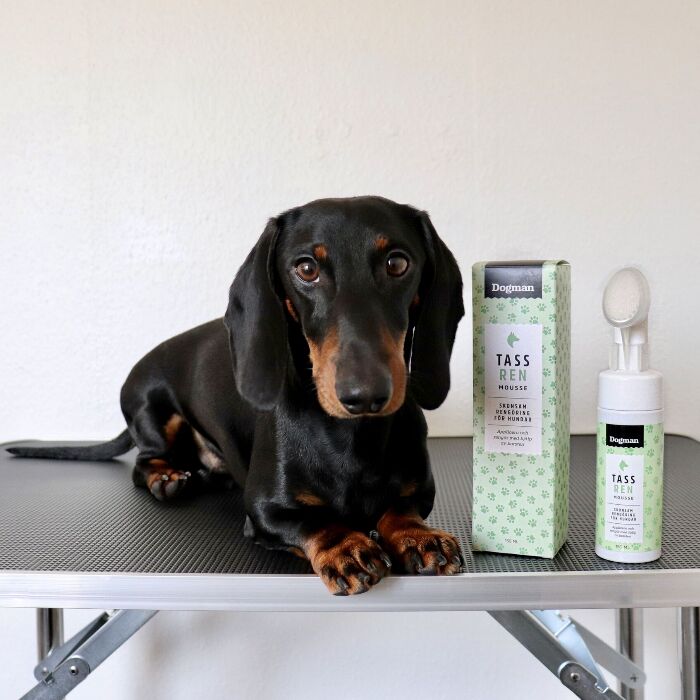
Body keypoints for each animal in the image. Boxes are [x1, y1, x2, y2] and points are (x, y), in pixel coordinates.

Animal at [8, 196, 465, 595]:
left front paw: (418, 536)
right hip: (151, 407)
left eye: (397, 263)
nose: (365, 394)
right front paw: (346, 546)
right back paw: (166, 478)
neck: (352, 439)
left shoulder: (420, 491)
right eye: (306, 268)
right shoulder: (265, 510)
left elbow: (401, 508)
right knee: (142, 462)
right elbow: (315, 523)